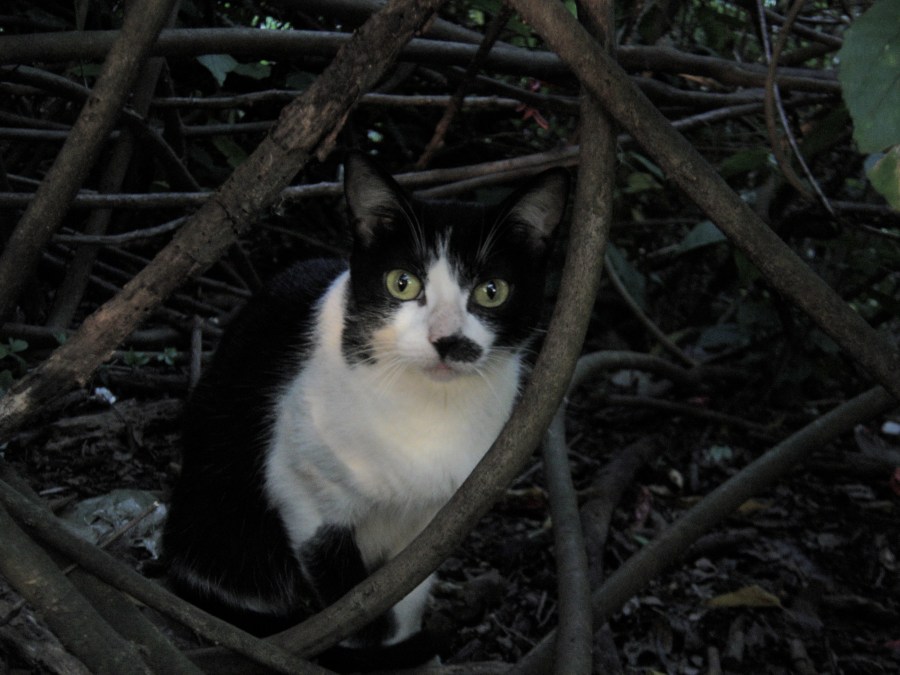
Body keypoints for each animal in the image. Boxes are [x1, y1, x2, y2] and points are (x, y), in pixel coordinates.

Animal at [162, 152, 568, 671]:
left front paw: (403, 650)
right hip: (220, 516)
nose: (446, 340)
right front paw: (374, 652)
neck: (429, 409)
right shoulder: (303, 491)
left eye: (492, 291)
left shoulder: (436, 523)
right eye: (402, 283)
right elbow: (349, 604)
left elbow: (407, 597)